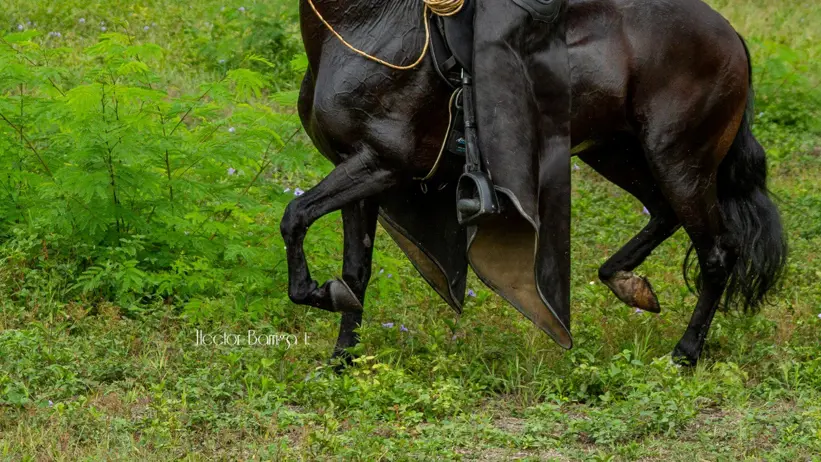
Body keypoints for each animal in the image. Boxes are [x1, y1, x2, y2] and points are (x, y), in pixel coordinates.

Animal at [281, 0, 787, 366]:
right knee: (663, 214)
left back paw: (685, 354)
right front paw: (340, 359)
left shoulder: (381, 164)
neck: (366, 25)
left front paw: (320, 296)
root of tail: (729, 35)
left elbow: (294, 217)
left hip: (679, 160)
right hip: (617, 152)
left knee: (716, 253)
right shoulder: (360, 169)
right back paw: (628, 284)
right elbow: (355, 270)